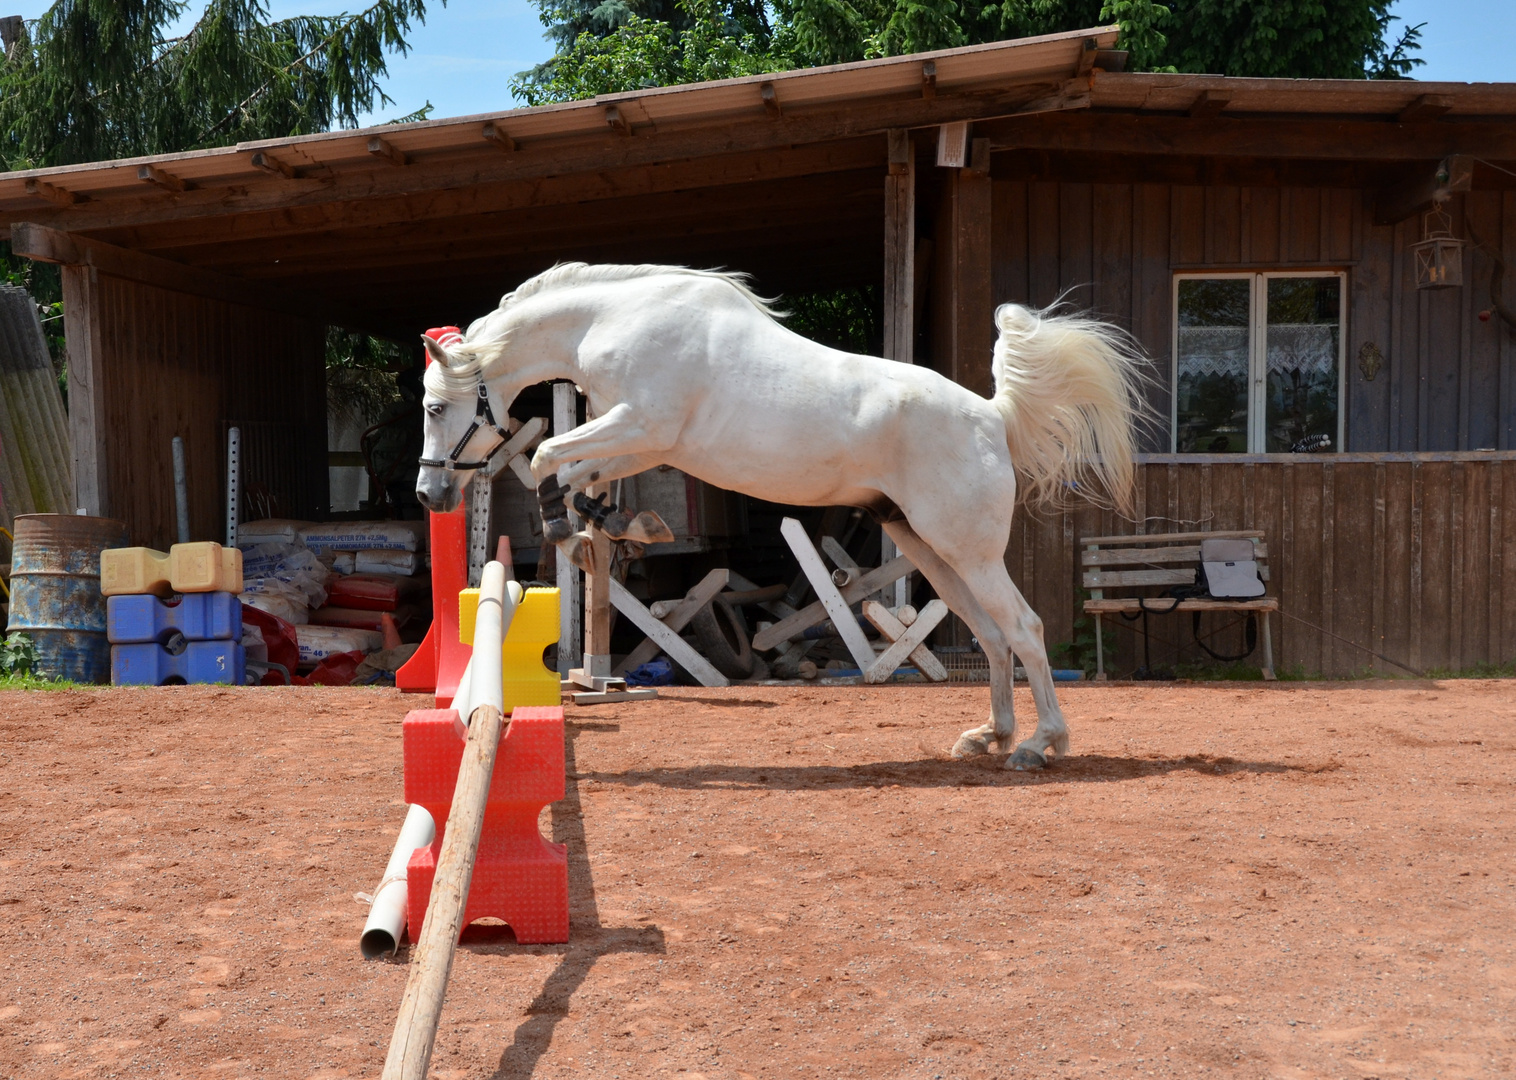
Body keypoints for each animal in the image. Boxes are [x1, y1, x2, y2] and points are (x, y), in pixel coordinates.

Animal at [412, 260, 1140, 767]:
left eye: (434, 407)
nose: (429, 495)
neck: (615, 320)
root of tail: (991, 415)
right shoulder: (640, 438)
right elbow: (575, 473)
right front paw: (613, 525)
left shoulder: (642, 424)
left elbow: (545, 458)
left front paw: (574, 526)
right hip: (930, 547)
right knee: (992, 635)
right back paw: (990, 736)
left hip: (969, 550)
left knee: (1024, 627)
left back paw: (1039, 745)